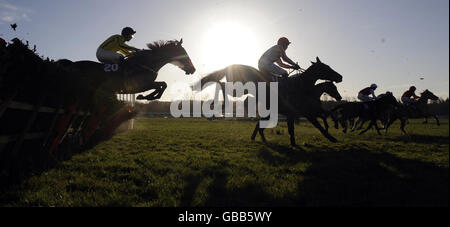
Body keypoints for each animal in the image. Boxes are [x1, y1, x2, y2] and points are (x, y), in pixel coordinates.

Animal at [57, 39, 195, 101]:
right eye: (184, 53)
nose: (193, 69)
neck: (145, 64)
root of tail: (71, 64)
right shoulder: (140, 85)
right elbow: (161, 85)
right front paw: (146, 96)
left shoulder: (147, 83)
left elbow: (163, 84)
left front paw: (147, 97)